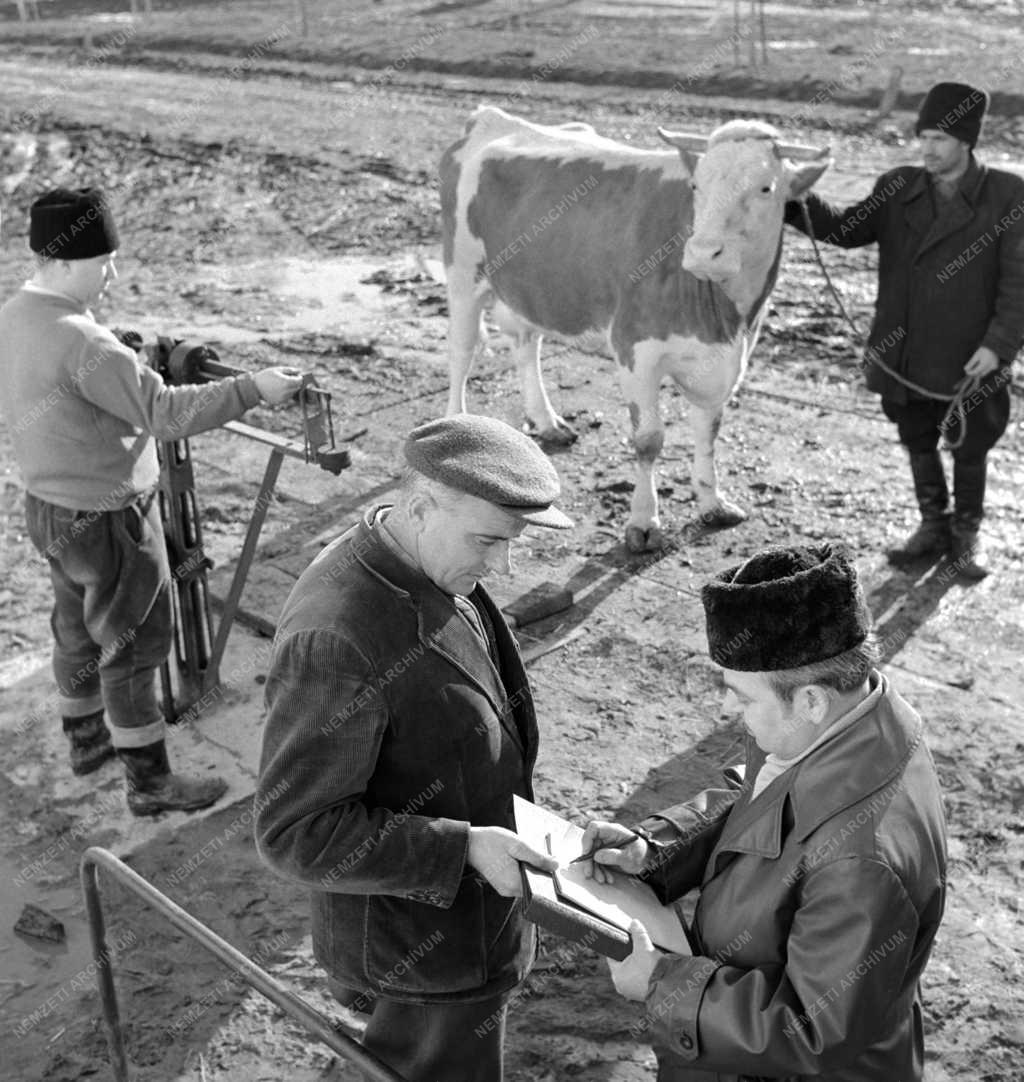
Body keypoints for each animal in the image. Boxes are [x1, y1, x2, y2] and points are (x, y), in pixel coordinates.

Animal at [439, 104, 831, 549]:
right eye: (696, 185)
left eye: (766, 188)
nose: (702, 253)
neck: (727, 319)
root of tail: (491, 115)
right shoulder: (635, 348)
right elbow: (648, 441)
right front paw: (644, 521)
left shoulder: (722, 362)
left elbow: (709, 432)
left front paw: (712, 503)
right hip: (463, 272)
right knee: (462, 352)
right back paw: (457, 427)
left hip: (528, 285)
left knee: (526, 346)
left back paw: (547, 422)